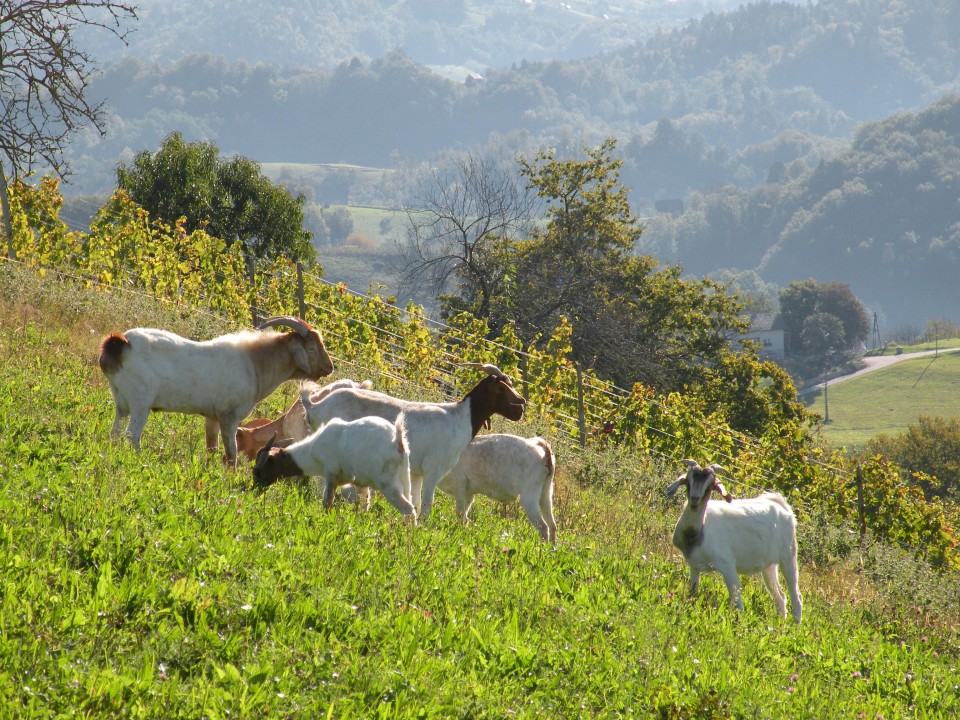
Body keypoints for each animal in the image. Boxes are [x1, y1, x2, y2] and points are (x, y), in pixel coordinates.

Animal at [100, 314, 334, 462]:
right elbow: (231, 455)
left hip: (121, 401)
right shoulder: (229, 417)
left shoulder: (211, 417)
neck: (254, 363)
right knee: (131, 437)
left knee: (114, 433)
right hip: (140, 403)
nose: (329, 367)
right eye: (311, 348)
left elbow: (211, 448)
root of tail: (121, 343)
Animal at [251, 416, 412, 524]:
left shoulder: (331, 476)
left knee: (408, 508)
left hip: (388, 485)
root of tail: (397, 442)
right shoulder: (360, 483)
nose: (254, 492)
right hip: (406, 479)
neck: (314, 447)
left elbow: (327, 502)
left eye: (257, 472)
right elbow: (363, 505)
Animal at [298, 362, 524, 520]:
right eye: (502, 388)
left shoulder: (416, 473)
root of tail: (315, 406)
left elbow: (415, 500)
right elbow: (427, 503)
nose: (520, 408)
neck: (460, 418)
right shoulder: (434, 469)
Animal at [668, 462, 804, 624]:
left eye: (711, 485)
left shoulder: (727, 565)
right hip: (769, 566)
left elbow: (737, 601)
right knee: (780, 597)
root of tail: (783, 507)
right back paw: (781, 624)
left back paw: (795, 625)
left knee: (796, 595)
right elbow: (693, 592)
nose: (695, 500)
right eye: (688, 480)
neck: (698, 533)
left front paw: (737, 624)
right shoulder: (694, 566)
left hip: (788, 557)